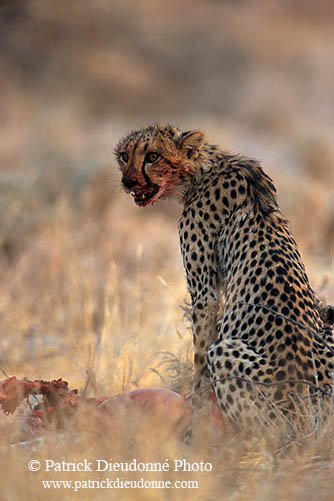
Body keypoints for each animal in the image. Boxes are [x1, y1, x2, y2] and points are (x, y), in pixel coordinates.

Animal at [115, 124, 334, 434]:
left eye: (153, 156)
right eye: (124, 155)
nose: (128, 181)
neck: (203, 168)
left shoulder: (204, 293)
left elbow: (200, 350)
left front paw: (198, 406)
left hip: (228, 354)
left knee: (271, 432)